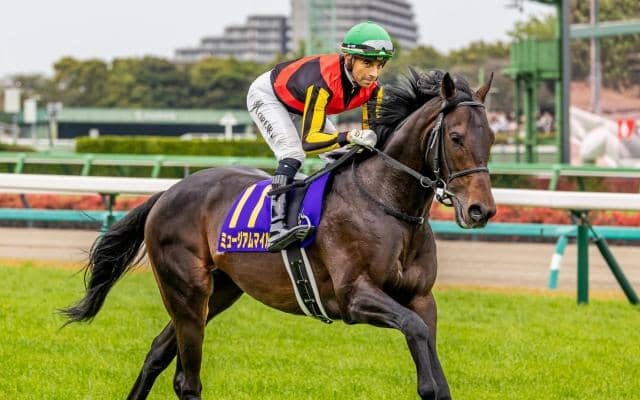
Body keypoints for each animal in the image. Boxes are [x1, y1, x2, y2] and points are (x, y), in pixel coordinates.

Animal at [62, 69, 496, 400]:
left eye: (491, 138)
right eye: (456, 138)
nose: (482, 210)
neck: (387, 203)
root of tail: (168, 193)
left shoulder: (421, 298)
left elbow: (431, 362)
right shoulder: (355, 298)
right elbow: (416, 336)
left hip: (219, 292)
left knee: (157, 353)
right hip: (184, 290)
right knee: (187, 379)